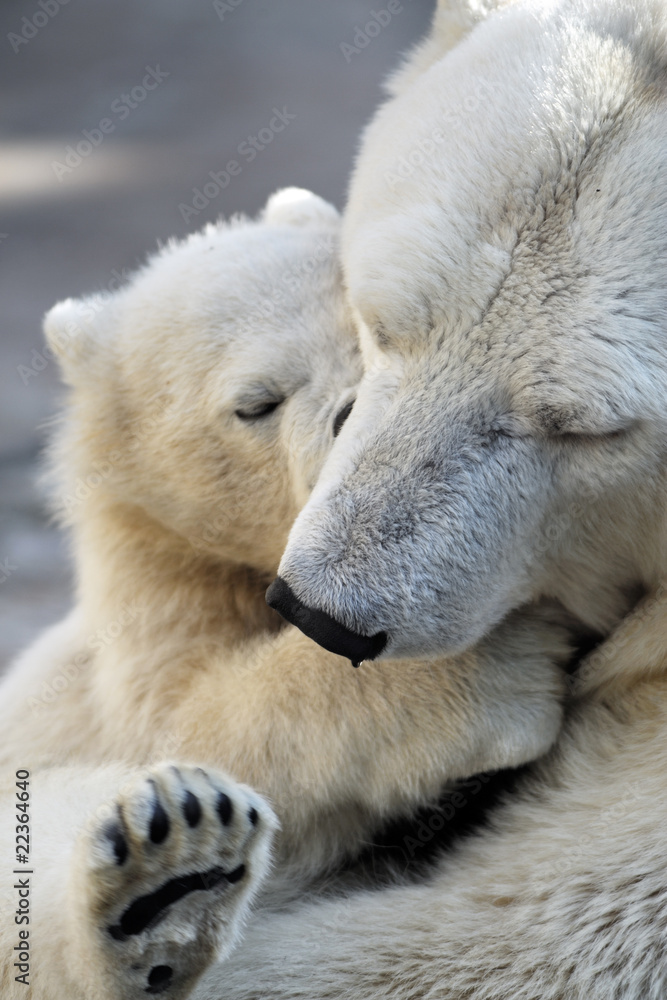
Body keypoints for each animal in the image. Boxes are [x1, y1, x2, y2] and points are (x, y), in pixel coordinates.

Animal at [0, 187, 576, 999]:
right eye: (256, 403)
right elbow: (188, 720)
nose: (355, 411)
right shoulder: (150, 601)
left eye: (371, 336)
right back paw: (164, 891)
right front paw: (491, 669)